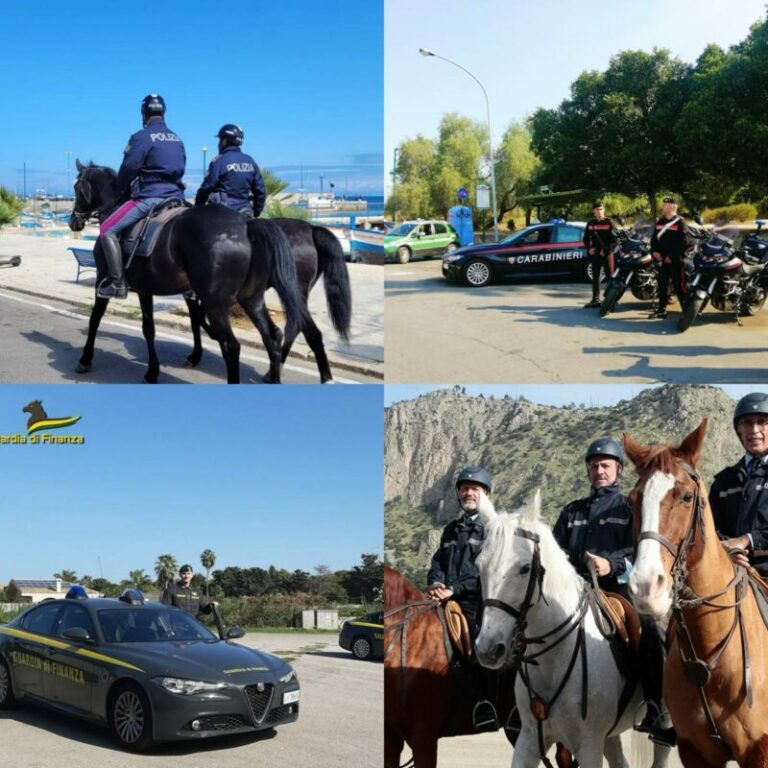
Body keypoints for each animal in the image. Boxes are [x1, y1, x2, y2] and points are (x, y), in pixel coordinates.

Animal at [68, 160, 304, 384]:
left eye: (76, 187)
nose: (73, 221)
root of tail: (247, 223)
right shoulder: (146, 290)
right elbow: (149, 328)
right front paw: (152, 372)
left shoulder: (103, 279)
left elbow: (95, 318)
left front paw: (85, 359)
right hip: (251, 298)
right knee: (272, 337)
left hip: (215, 303)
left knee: (231, 346)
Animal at [472, 492, 668, 768]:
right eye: (479, 566)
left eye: (524, 568)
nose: (487, 649)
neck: (553, 658)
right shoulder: (529, 739)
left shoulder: (588, 746)